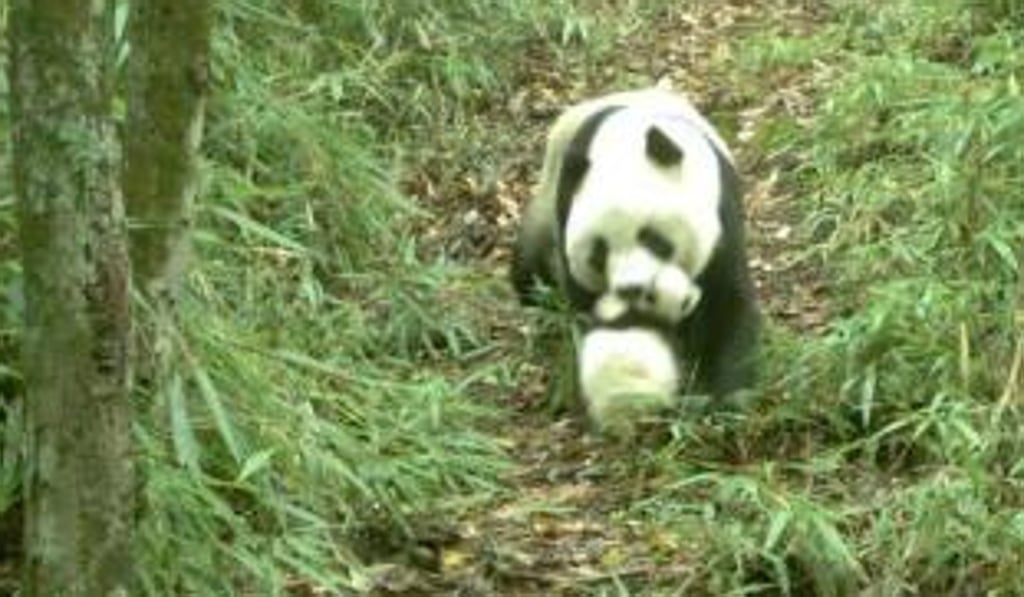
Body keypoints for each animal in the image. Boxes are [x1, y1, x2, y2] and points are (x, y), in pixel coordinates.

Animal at [510, 87, 760, 427]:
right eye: (599, 254)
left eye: (653, 239)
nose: (632, 289)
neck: (625, 143)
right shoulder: (566, 211)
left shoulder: (722, 214)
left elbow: (728, 304)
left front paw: (726, 402)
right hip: (545, 203)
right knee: (529, 266)